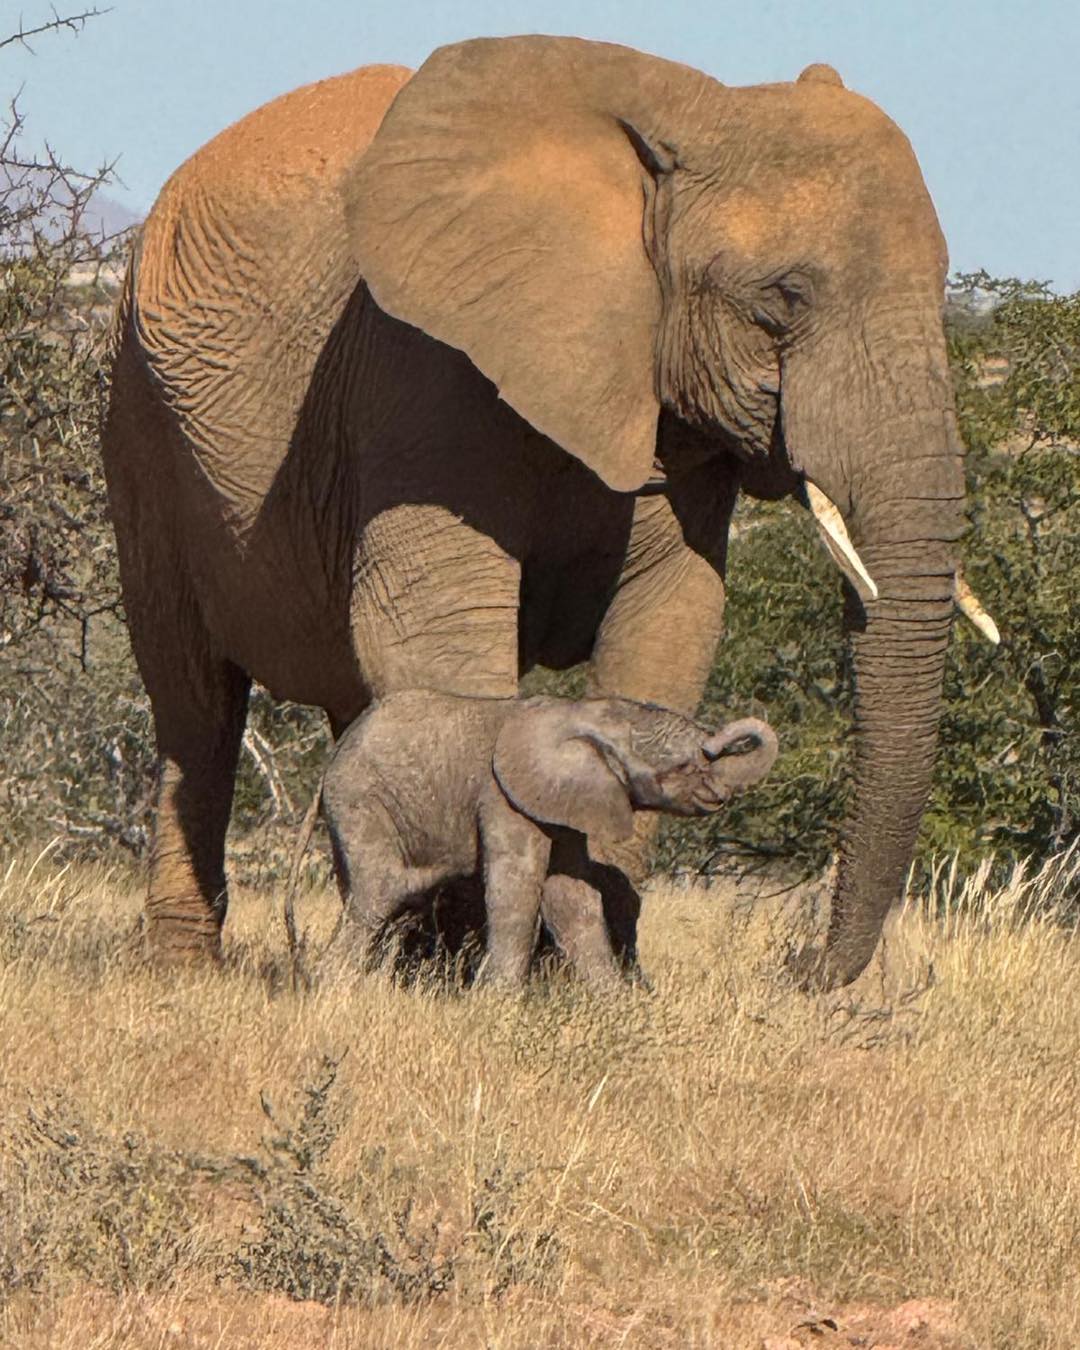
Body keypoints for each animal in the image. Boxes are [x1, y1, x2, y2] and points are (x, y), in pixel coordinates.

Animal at [320, 691, 778, 985]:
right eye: (682, 768)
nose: (717, 794)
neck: (589, 713)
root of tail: (340, 746)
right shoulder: (504, 797)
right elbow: (517, 890)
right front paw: (495, 1002)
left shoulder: (567, 804)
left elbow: (570, 899)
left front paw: (613, 1002)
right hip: (359, 798)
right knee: (380, 888)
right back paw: (334, 986)